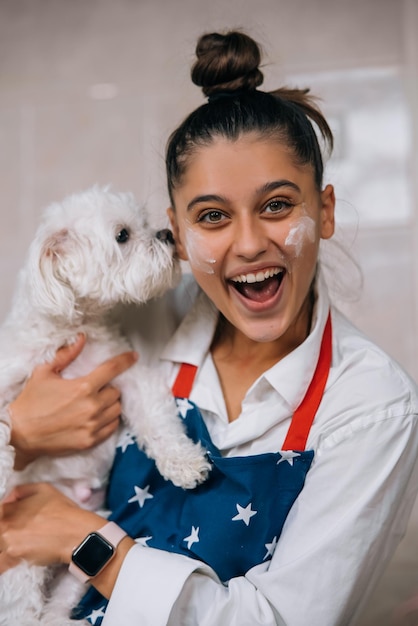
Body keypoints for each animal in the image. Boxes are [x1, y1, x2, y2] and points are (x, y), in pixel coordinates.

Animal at [0, 186, 211, 624]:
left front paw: (185, 464)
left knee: (59, 603)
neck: (70, 329)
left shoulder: (128, 378)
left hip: (83, 557)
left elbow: (159, 423)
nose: (167, 235)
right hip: (23, 568)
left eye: (145, 223)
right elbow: (4, 425)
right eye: (122, 236)